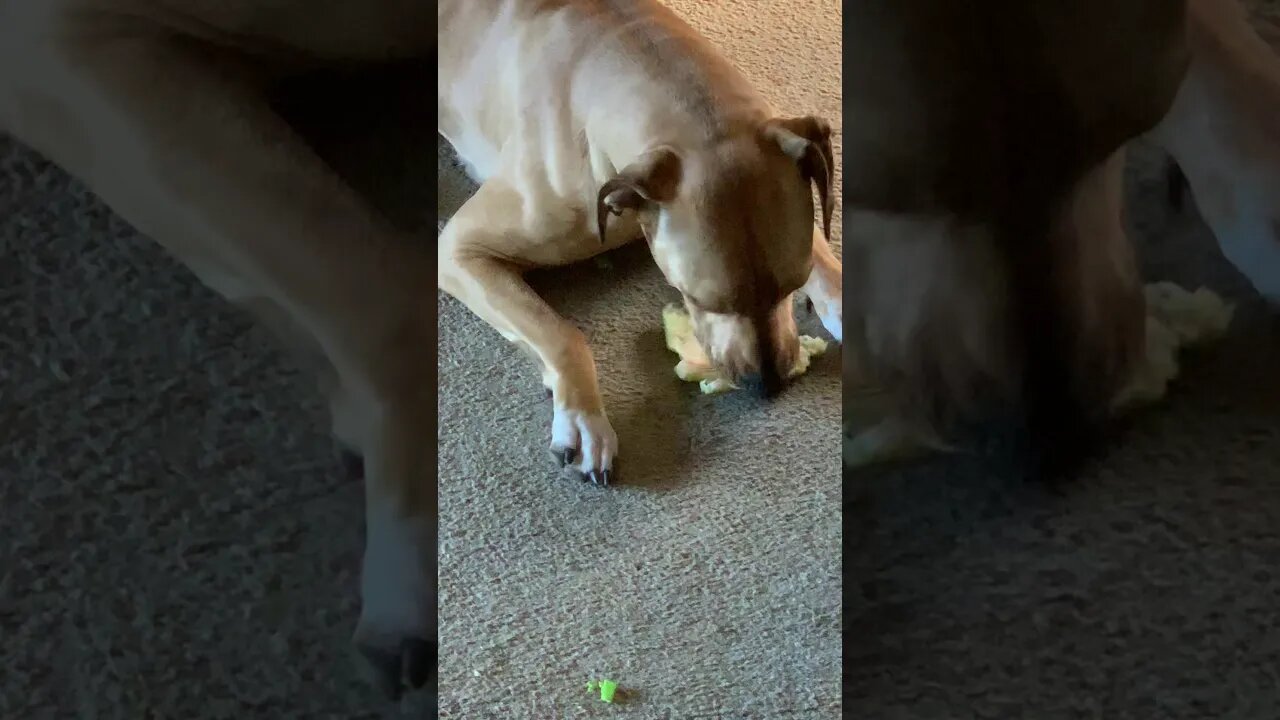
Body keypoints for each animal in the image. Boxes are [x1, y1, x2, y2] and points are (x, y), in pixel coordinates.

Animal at [435, 0, 844, 481]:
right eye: (696, 298)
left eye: (792, 284)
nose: (768, 385)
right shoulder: (460, 248)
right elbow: (560, 333)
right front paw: (583, 419)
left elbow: (825, 261)